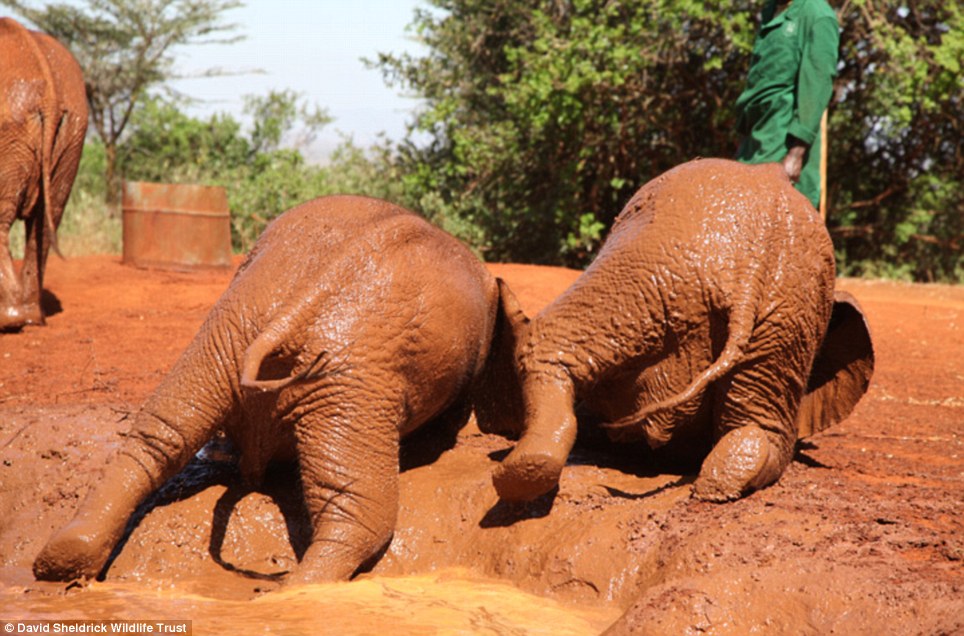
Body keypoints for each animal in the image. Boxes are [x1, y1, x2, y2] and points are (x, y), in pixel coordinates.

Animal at [32, 195, 512, 588]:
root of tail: (297, 310)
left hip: (237, 327)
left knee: (162, 431)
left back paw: (63, 561)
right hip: (349, 369)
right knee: (360, 513)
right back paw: (297, 592)